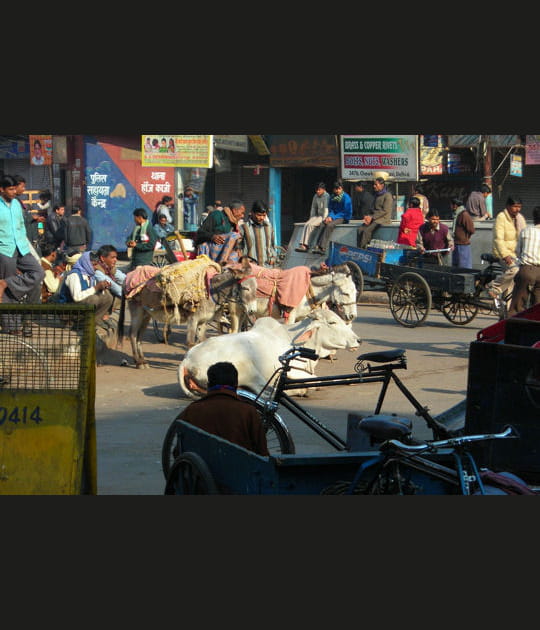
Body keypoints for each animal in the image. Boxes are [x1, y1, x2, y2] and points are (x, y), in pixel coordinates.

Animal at [178, 310, 362, 400]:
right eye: (332, 322)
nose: (358, 340)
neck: (290, 337)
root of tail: (186, 361)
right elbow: (316, 378)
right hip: (246, 370)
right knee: (266, 391)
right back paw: (302, 390)